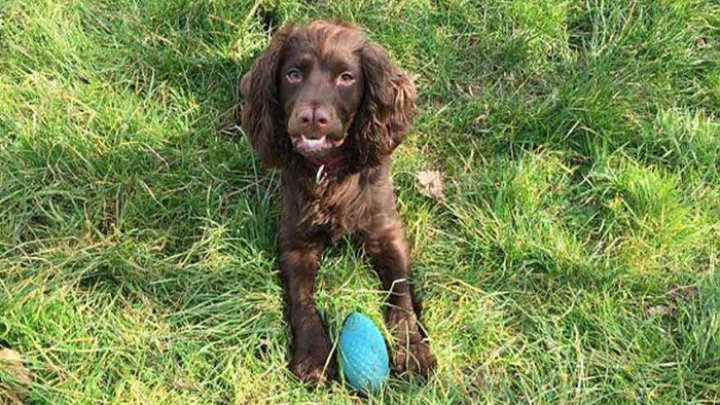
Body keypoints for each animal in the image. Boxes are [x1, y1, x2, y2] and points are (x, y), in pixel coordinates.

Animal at [239, 19, 436, 386]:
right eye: (292, 74)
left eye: (346, 77)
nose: (311, 117)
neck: (329, 170)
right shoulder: (295, 241)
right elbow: (302, 300)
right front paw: (313, 356)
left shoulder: (386, 232)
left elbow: (400, 292)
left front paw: (412, 347)